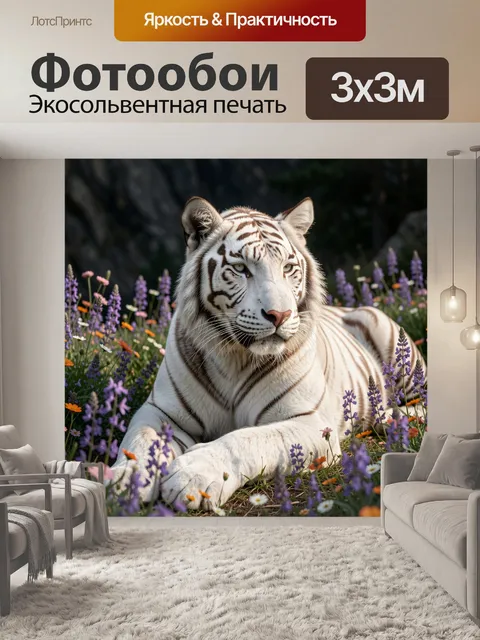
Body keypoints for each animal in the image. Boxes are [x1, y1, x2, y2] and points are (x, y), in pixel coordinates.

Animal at [111, 196, 426, 509]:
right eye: (241, 269)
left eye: (287, 268)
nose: (280, 315)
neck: (234, 356)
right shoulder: (161, 411)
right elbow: (140, 439)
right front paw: (126, 479)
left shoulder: (310, 422)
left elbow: (245, 440)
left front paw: (192, 475)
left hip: (391, 341)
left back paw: (393, 417)